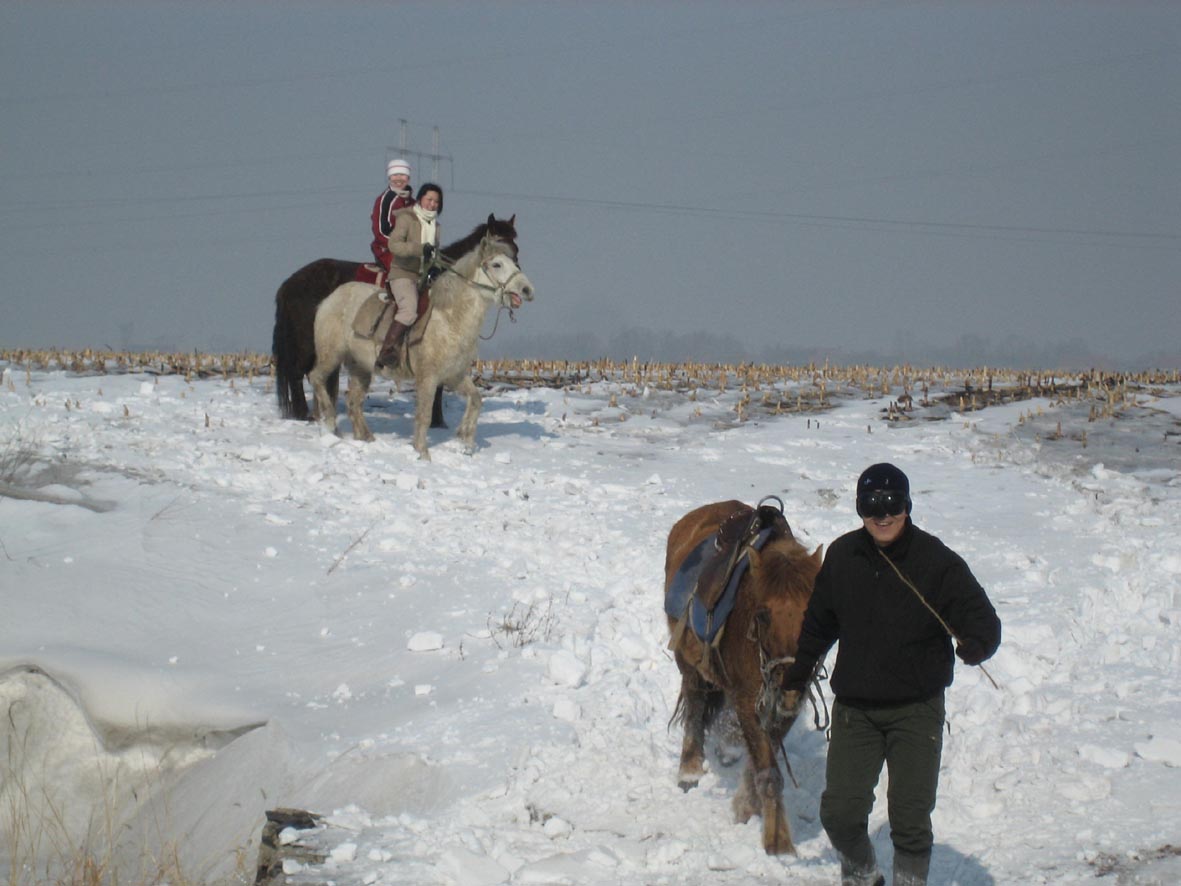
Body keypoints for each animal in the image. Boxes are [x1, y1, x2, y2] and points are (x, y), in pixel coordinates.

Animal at [276, 213, 522, 422]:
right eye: (497, 256)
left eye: (515, 249)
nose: (519, 289)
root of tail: (290, 283)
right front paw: (436, 420)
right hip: (308, 342)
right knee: (299, 373)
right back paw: (303, 415)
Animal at [666, 500, 821, 855]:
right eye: (763, 615)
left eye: (812, 613)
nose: (790, 681)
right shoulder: (750, 700)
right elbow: (769, 771)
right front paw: (777, 842)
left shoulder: (784, 708)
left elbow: (760, 760)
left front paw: (746, 806)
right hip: (689, 663)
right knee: (695, 706)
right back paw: (689, 770)